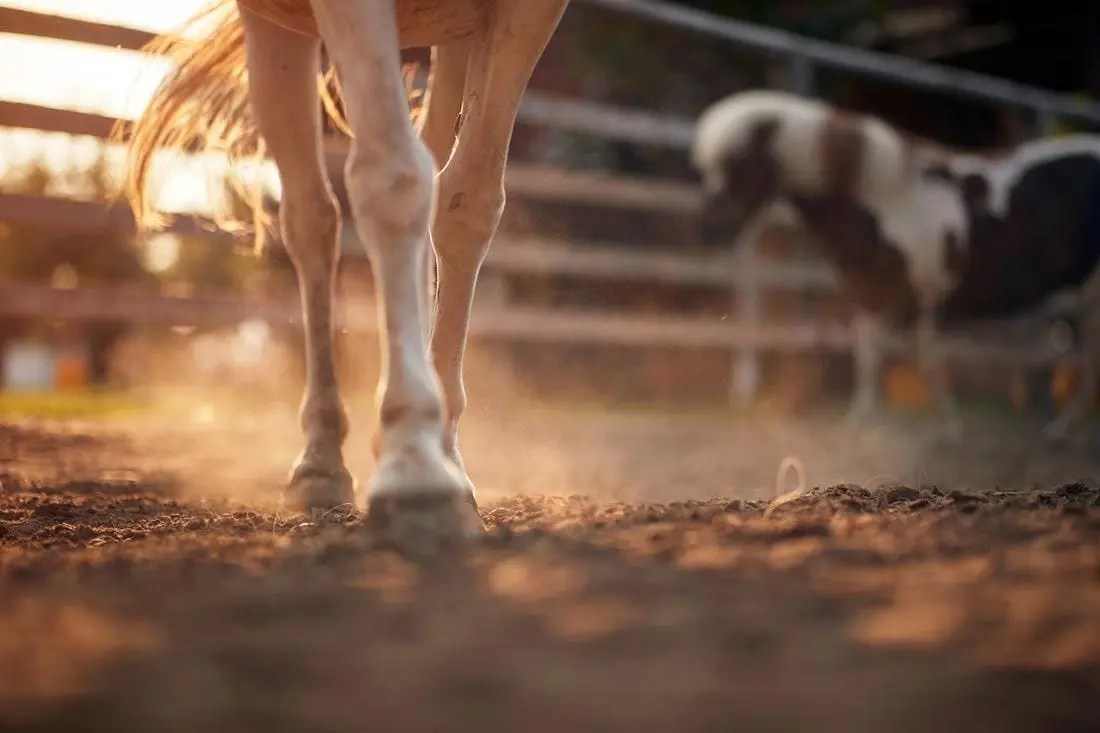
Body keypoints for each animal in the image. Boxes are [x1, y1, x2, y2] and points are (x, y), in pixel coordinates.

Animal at [116, 0, 570, 544]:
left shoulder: (526, 14)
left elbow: (469, 199)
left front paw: (442, 459)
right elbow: (392, 176)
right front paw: (415, 467)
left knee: (430, 165)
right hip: (275, 32)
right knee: (312, 218)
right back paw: (321, 463)